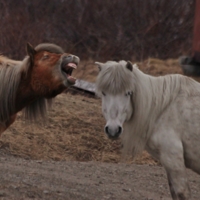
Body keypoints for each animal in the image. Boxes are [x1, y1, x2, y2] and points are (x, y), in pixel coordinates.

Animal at [94, 60, 200, 200]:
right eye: (104, 93)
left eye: (128, 93)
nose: (113, 130)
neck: (162, 109)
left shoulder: (173, 160)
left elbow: (182, 193)